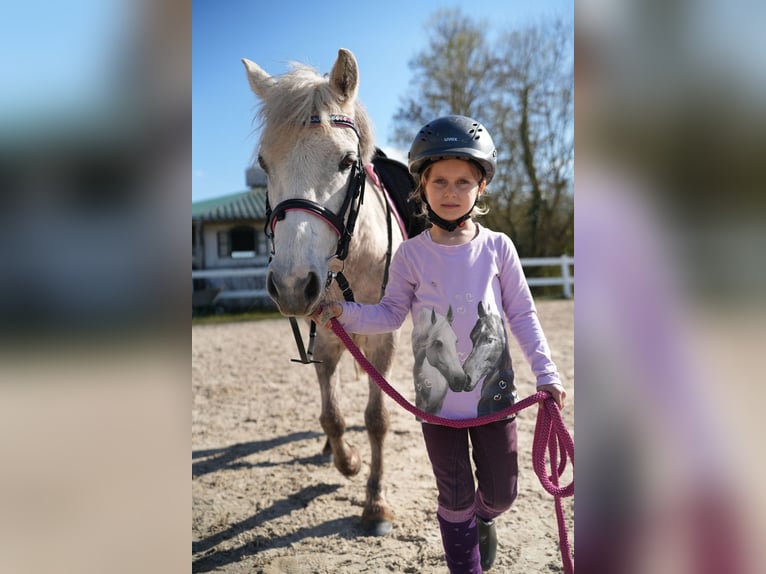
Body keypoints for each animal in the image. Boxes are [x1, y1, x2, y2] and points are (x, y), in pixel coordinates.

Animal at [242, 49, 404, 535]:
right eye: (265, 163)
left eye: (347, 162)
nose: (292, 284)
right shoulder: (326, 334)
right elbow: (331, 415)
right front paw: (346, 460)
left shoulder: (384, 339)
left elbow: (377, 417)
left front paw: (375, 502)